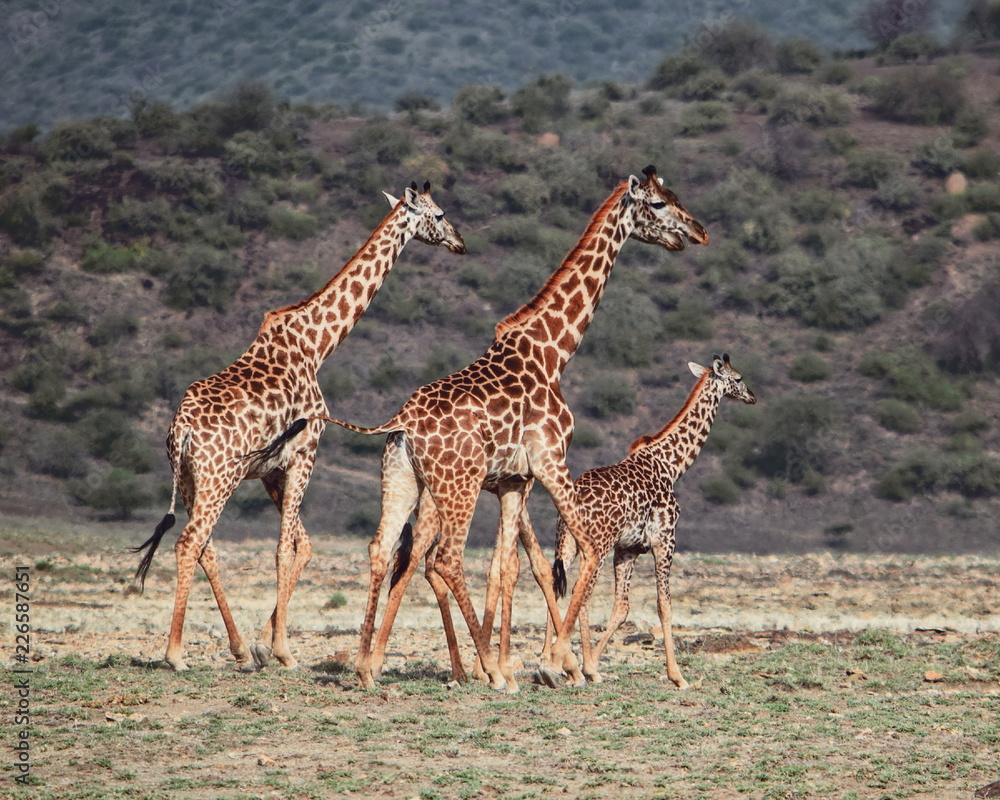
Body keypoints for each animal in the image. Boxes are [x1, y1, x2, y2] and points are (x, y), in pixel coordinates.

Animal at [129, 183, 465, 672]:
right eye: (439, 214)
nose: (460, 242)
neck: (316, 344)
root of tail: (182, 431)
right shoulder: (307, 451)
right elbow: (284, 549)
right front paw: (283, 650)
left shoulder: (271, 469)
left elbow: (300, 546)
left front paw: (262, 644)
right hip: (217, 478)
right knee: (190, 543)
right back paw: (175, 655)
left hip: (190, 481)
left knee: (206, 547)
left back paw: (236, 648)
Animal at [254, 166, 708, 691]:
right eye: (657, 204)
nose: (697, 232)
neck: (554, 353)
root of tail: (401, 422)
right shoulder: (551, 462)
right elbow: (580, 553)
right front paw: (554, 664)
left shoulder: (514, 480)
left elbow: (509, 565)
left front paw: (537, 662)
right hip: (460, 485)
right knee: (444, 559)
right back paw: (489, 670)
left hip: (404, 480)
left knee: (384, 548)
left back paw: (367, 667)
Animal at [540, 354, 756, 688]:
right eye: (738, 378)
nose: (752, 396)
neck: (672, 465)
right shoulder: (665, 540)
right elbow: (664, 606)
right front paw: (677, 676)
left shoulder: (627, 549)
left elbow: (622, 608)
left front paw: (593, 665)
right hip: (596, 547)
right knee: (581, 593)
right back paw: (562, 665)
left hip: (567, 547)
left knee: (558, 587)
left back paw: (548, 663)